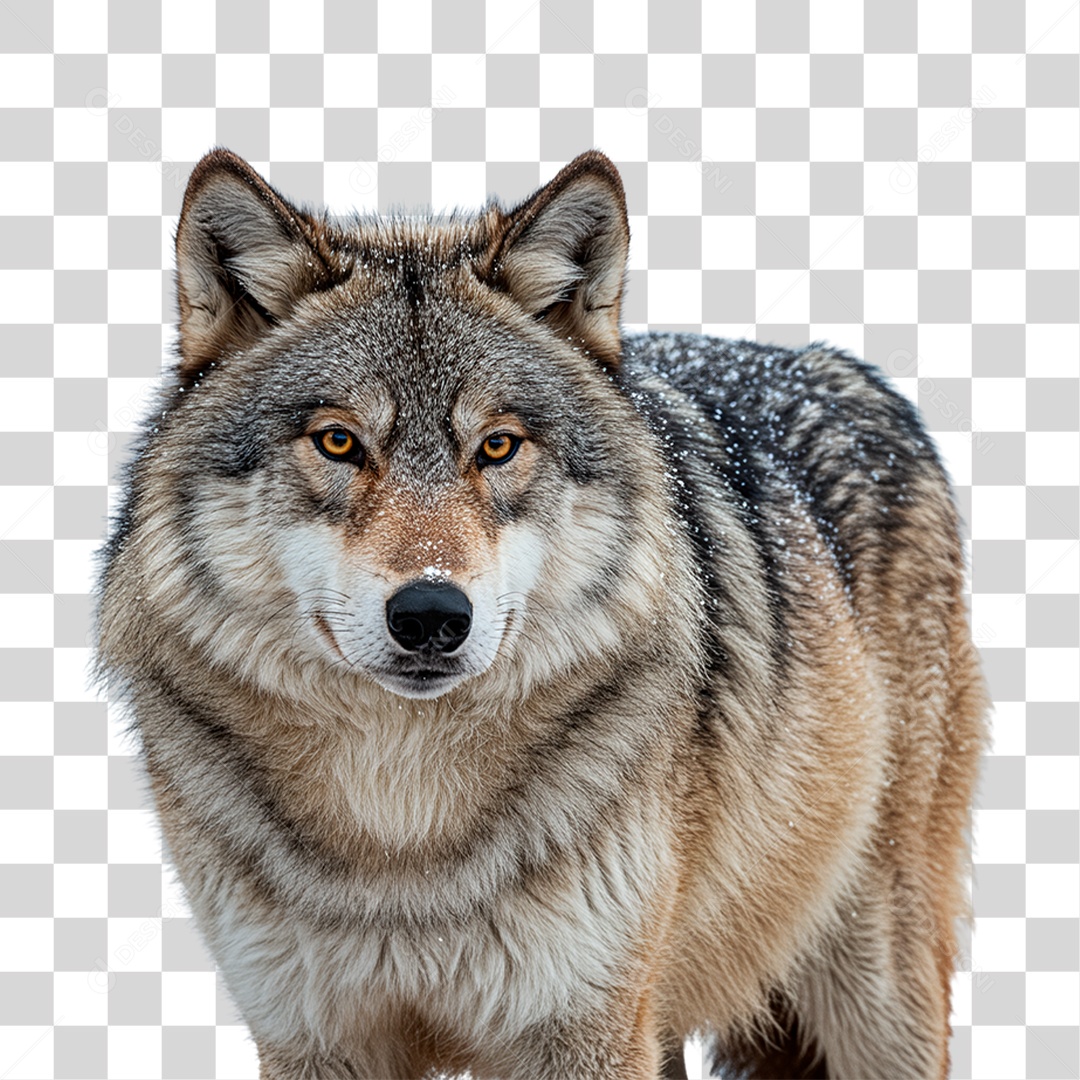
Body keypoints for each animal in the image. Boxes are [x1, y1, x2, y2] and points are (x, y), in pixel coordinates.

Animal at [95, 148, 988, 1079]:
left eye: (497, 446)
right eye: (339, 441)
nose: (431, 613)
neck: (401, 827)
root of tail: (830, 365)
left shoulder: (586, 1028)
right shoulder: (315, 1038)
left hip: (872, 991)